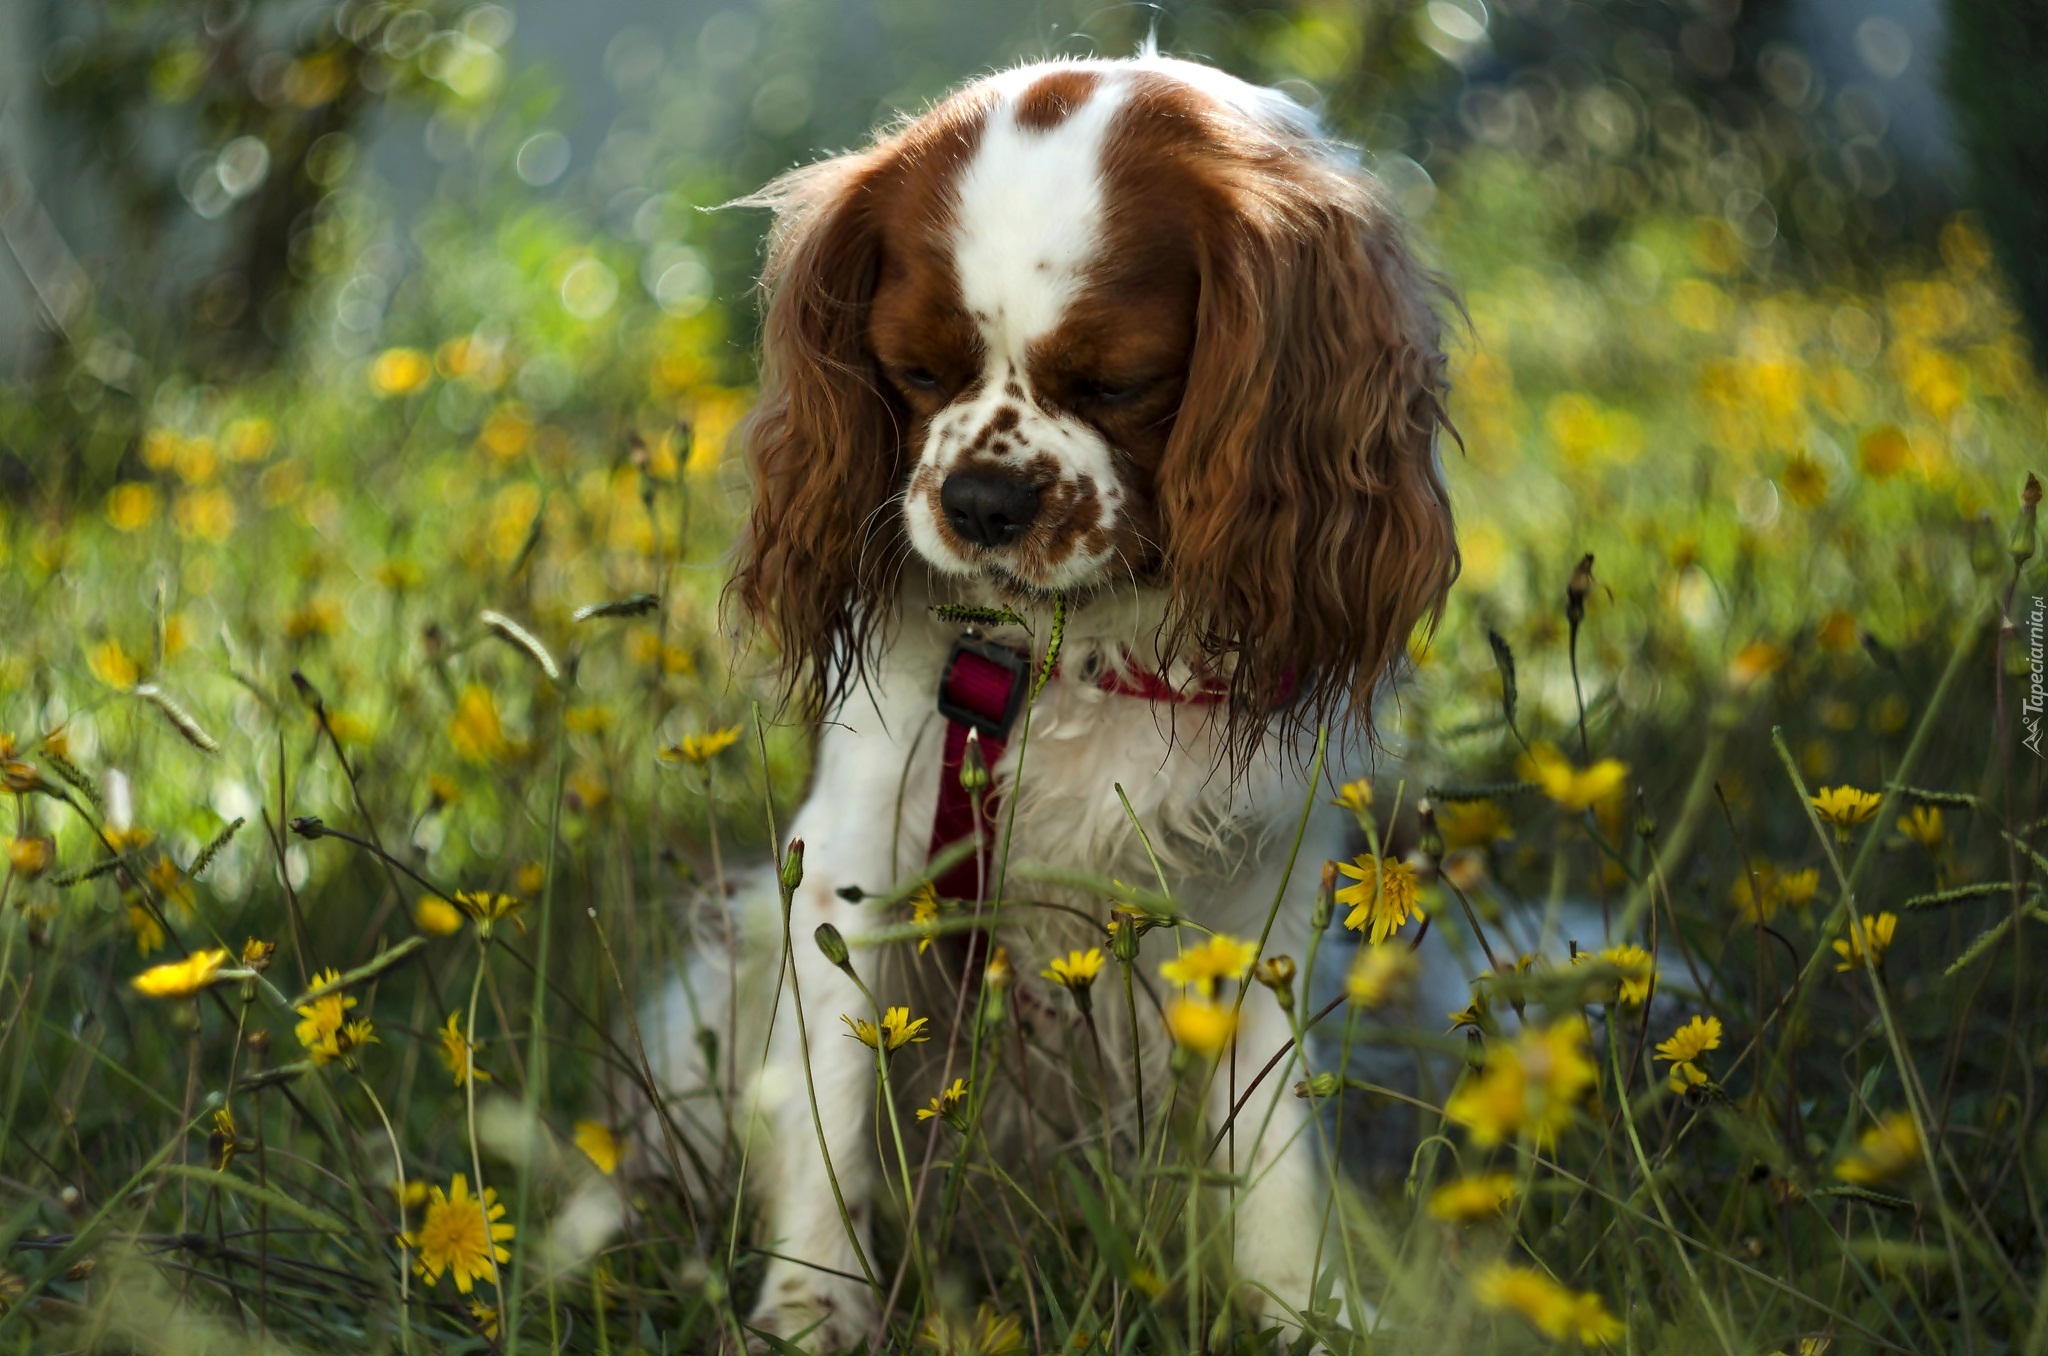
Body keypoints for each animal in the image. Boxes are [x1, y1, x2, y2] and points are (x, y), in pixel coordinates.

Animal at [663, 47, 1449, 1351]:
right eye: (913, 371)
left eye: (1119, 381)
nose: (980, 501)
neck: (1079, 654)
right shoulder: (853, 865)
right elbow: (832, 1118)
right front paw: (811, 1310)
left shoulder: (1247, 909)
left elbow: (1269, 1148)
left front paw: (1305, 1309)